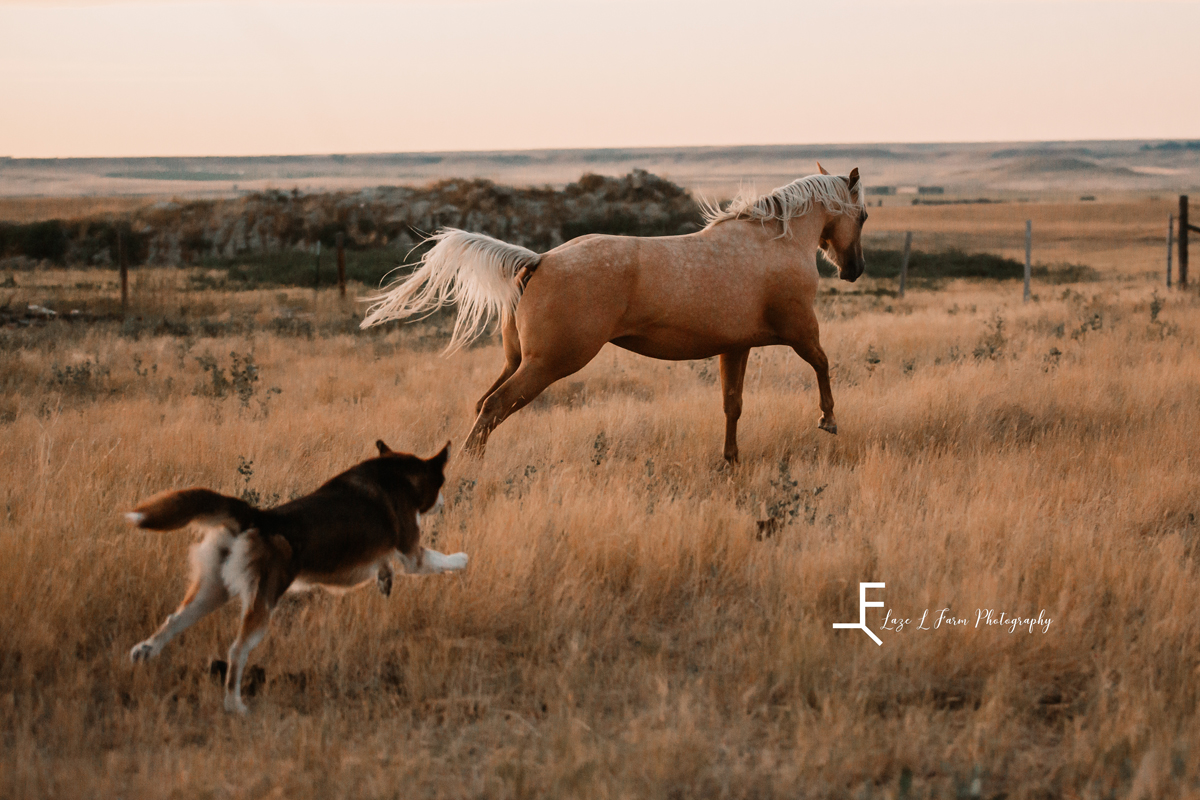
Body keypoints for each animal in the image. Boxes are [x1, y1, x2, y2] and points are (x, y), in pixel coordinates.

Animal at [125, 443, 463, 714]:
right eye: (442, 484)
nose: (444, 503)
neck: (394, 474)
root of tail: (258, 517)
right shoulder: (412, 554)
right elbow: (440, 559)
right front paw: (461, 559)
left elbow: (385, 567)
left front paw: (385, 581)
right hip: (262, 604)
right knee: (236, 651)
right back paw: (235, 705)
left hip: (211, 593)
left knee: (173, 621)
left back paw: (145, 652)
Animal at [360, 165, 868, 460]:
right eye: (862, 215)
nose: (855, 270)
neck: (774, 241)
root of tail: (539, 260)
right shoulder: (800, 329)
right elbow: (823, 364)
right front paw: (828, 421)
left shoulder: (735, 347)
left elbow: (732, 405)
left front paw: (731, 461)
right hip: (549, 364)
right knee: (495, 407)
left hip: (518, 360)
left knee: (482, 403)